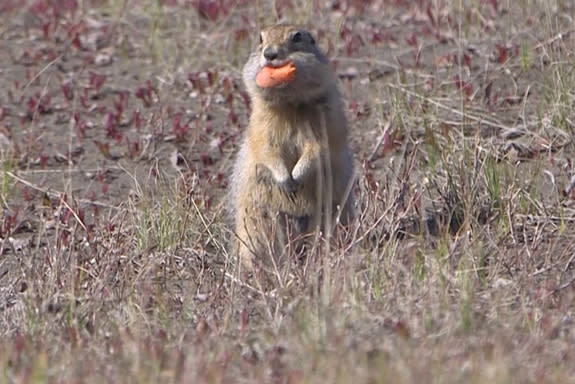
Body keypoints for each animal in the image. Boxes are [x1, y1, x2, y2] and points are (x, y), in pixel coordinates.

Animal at [230, 24, 356, 270]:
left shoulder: (325, 122)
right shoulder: (261, 125)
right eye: (260, 39)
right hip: (256, 224)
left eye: (297, 37)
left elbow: (318, 149)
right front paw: (285, 180)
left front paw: (296, 176)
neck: (289, 105)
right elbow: (267, 150)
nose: (269, 54)